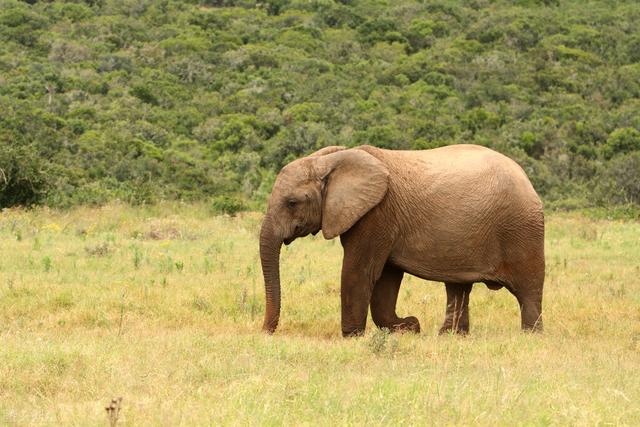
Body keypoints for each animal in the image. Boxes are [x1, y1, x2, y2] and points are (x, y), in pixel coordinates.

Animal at [260, 145, 544, 338]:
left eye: (292, 202)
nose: (265, 332)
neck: (331, 159)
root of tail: (527, 180)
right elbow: (386, 278)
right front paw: (409, 327)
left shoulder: (377, 213)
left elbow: (359, 272)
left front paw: (352, 337)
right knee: (458, 287)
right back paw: (450, 337)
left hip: (522, 228)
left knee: (528, 289)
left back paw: (530, 336)